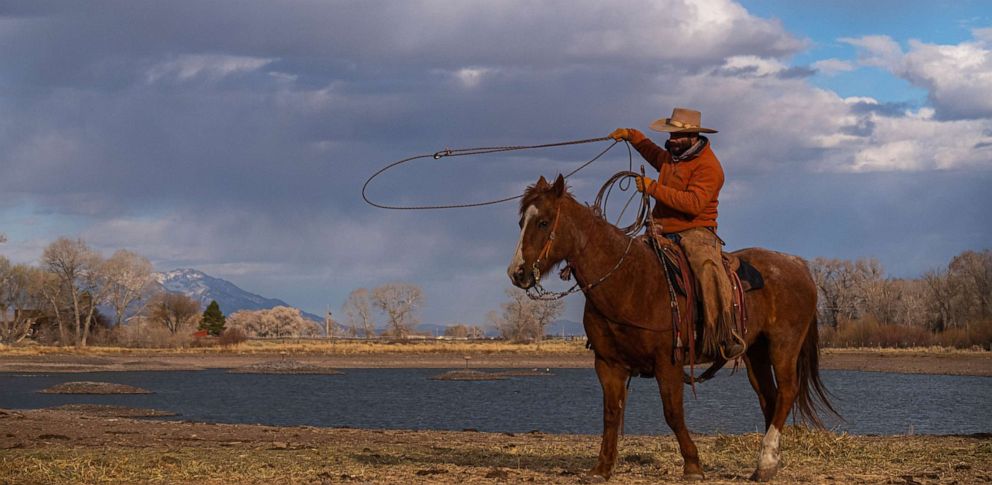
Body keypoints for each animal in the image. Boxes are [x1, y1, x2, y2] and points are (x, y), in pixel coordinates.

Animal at [508, 174, 832, 480]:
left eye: (543, 222)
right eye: (521, 222)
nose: (517, 273)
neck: (629, 281)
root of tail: (799, 265)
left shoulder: (668, 362)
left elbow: (673, 413)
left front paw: (693, 465)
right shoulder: (608, 364)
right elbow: (611, 414)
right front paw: (601, 469)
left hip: (783, 346)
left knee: (787, 391)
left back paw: (765, 462)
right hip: (756, 352)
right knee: (770, 398)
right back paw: (767, 465)